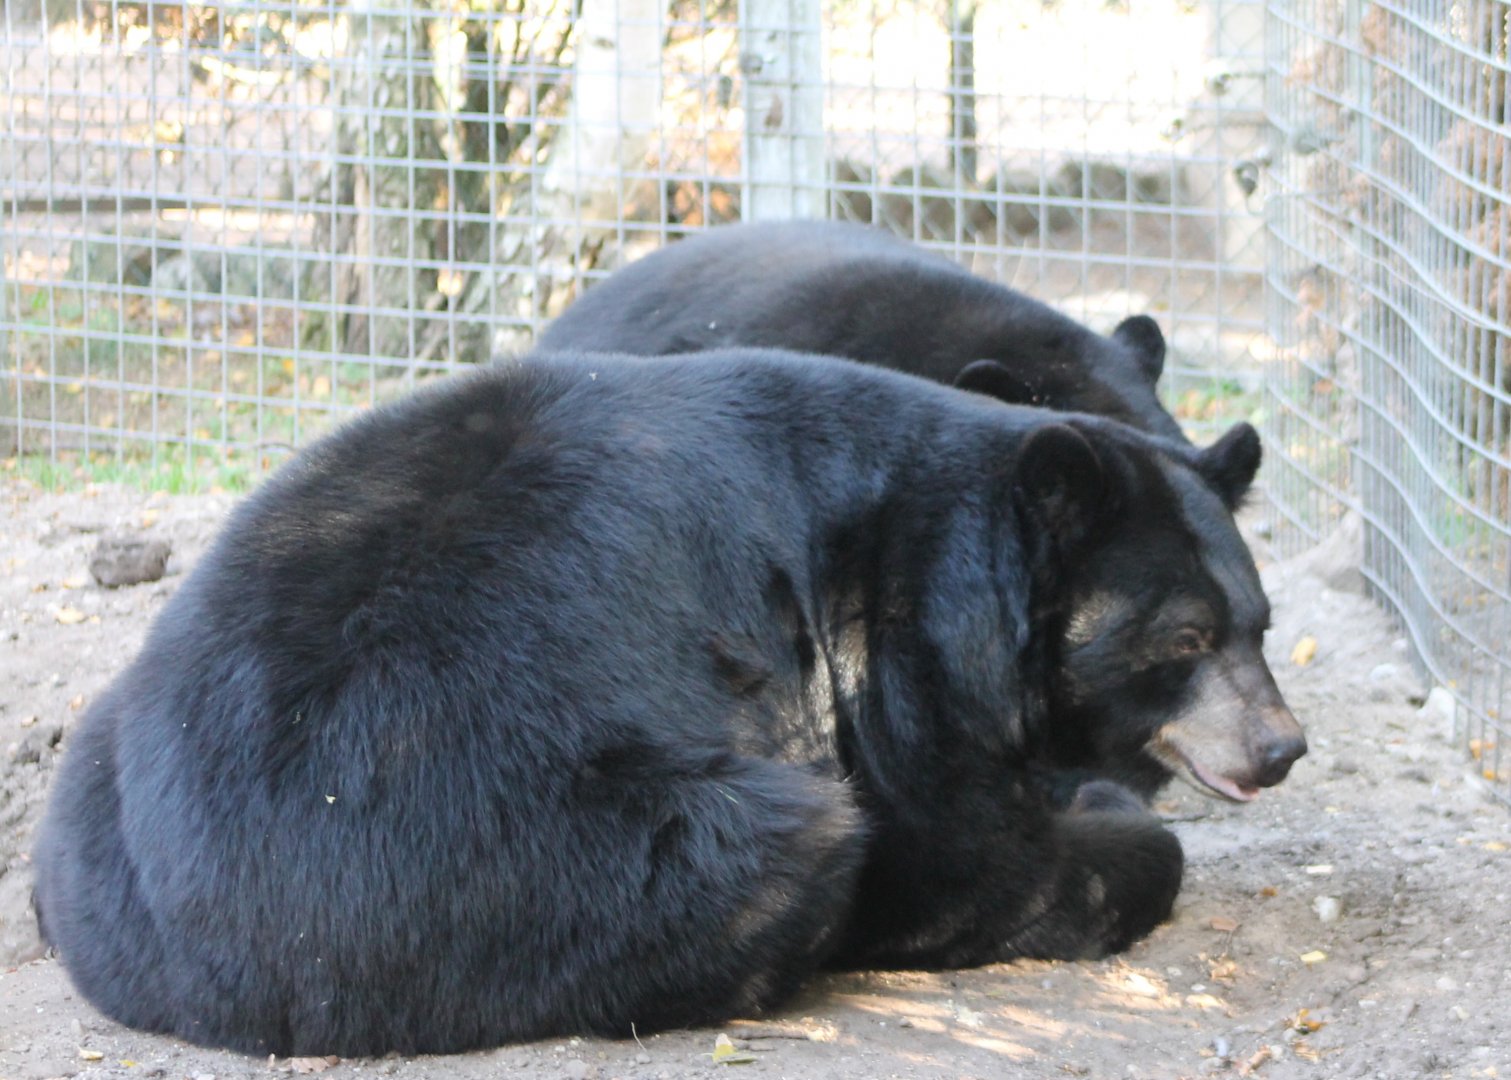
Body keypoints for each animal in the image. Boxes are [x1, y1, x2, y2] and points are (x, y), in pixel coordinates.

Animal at [33, 349, 1305, 1057]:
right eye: (1183, 640)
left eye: (1259, 621)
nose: (1279, 746)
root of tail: (232, 966)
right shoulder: (883, 657)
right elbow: (960, 849)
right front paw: (1104, 822)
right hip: (521, 842)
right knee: (776, 851)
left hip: (93, 782)